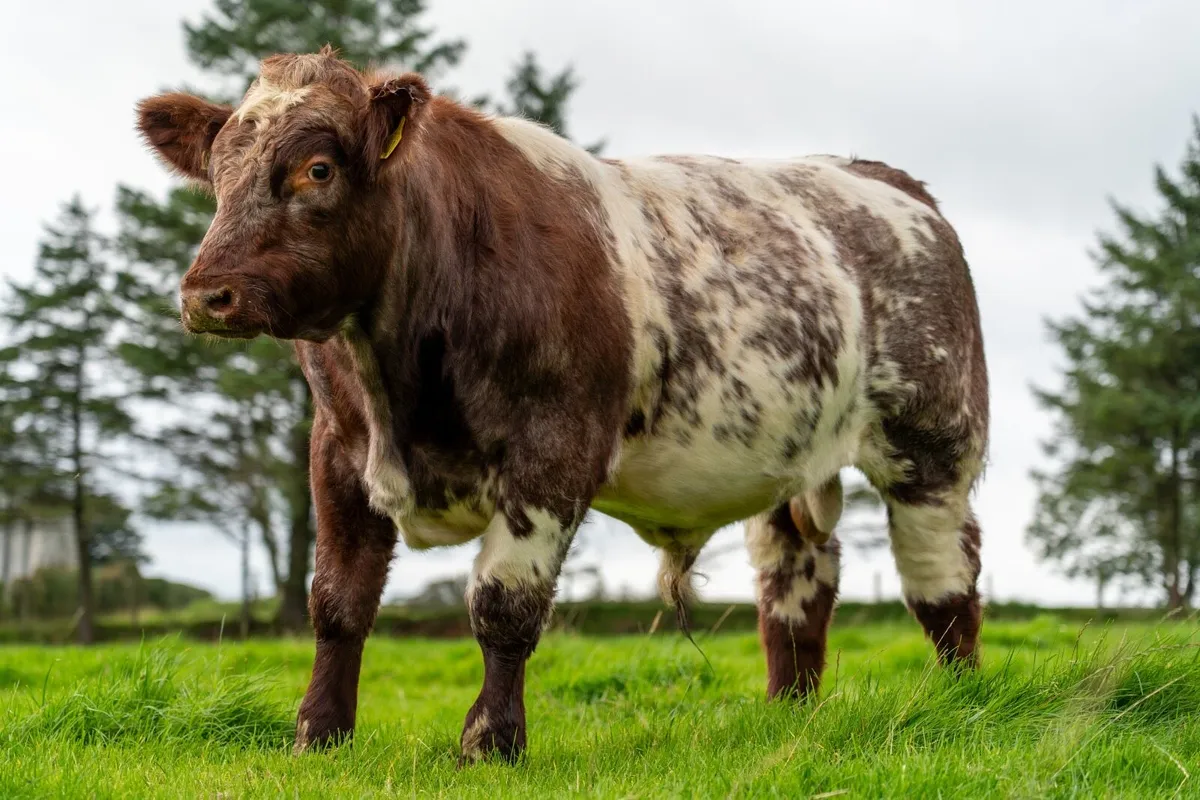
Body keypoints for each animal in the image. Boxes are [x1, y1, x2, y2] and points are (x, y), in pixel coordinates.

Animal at [135, 47, 988, 764]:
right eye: (218, 173)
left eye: (317, 168)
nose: (208, 293)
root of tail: (886, 180)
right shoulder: (338, 453)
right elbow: (338, 602)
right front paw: (319, 734)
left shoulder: (551, 450)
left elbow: (503, 604)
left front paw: (489, 742)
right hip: (788, 463)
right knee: (793, 589)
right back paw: (789, 716)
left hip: (931, 445)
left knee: (943, 580)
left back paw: (960, 706)